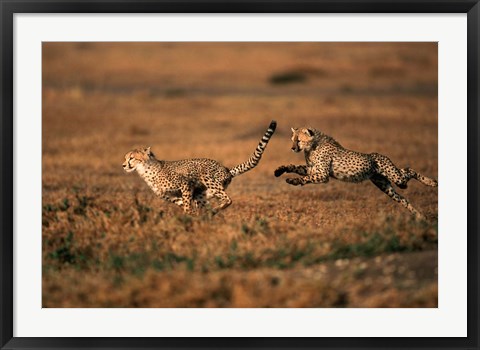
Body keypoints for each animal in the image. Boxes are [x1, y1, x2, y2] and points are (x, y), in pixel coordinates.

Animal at [122, 120, 276, 215]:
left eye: (132, 158)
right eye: (125, 158)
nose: (123, 165)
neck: (147, 170)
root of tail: (226, 169)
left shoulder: (185, 183)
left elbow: (186, 204)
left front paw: (188, 216)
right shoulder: (171, 197)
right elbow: (184, 204)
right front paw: (190, 216)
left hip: (208, 178)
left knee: (228, 200)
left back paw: (214, 210)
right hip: (202, 195)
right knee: (206, 204)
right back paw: (207, 215)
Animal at [274, 126, 438, 219]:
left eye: (298, 140)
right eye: (292, 139)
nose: (292, 148)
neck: (313, 146)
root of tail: (379, 155)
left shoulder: (323, 175)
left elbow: (306, 178)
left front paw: (294, 181)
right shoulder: (313, 169)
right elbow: (295, 167)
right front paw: (280, 170)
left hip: (396, 177)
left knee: (409, 170)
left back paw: (432, 182)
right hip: (384, 186)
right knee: (403, 198)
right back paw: (418, 215)